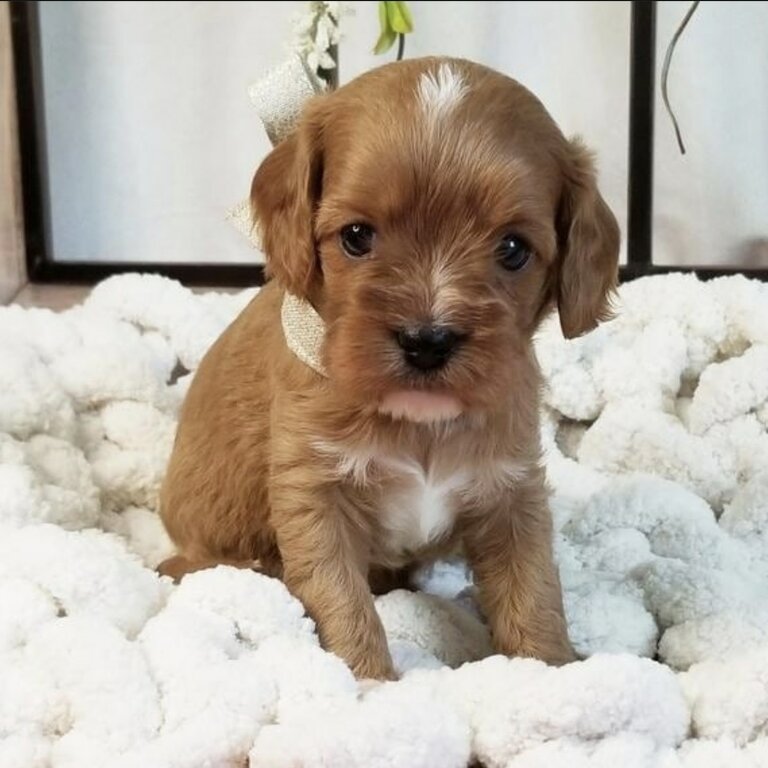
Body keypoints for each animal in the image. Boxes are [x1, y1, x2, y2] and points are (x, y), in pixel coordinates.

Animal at [159, 58, 620, 680]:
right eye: (357, 236)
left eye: (513, 249)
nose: (427, 340)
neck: (419, 423)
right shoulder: (313, 491)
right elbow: (339, 598)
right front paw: (367, 685)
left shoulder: (510, 487)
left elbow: (533, 590)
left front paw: (549, 671)